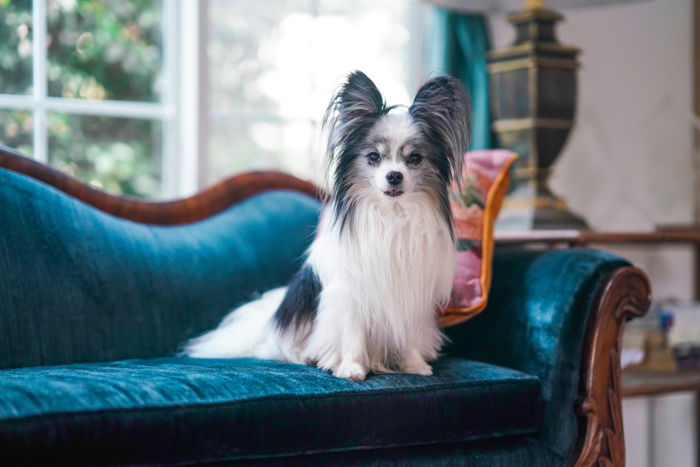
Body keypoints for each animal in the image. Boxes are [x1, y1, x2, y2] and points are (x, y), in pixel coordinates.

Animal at [185, 71, 470, 382]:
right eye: (373, 157)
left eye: (415, 159)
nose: (394, 176)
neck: (391, 215)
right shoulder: (350, 292)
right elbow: (353, 334)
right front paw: (352, 368)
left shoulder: (408, 293)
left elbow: (405, 335)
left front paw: (414, 365)